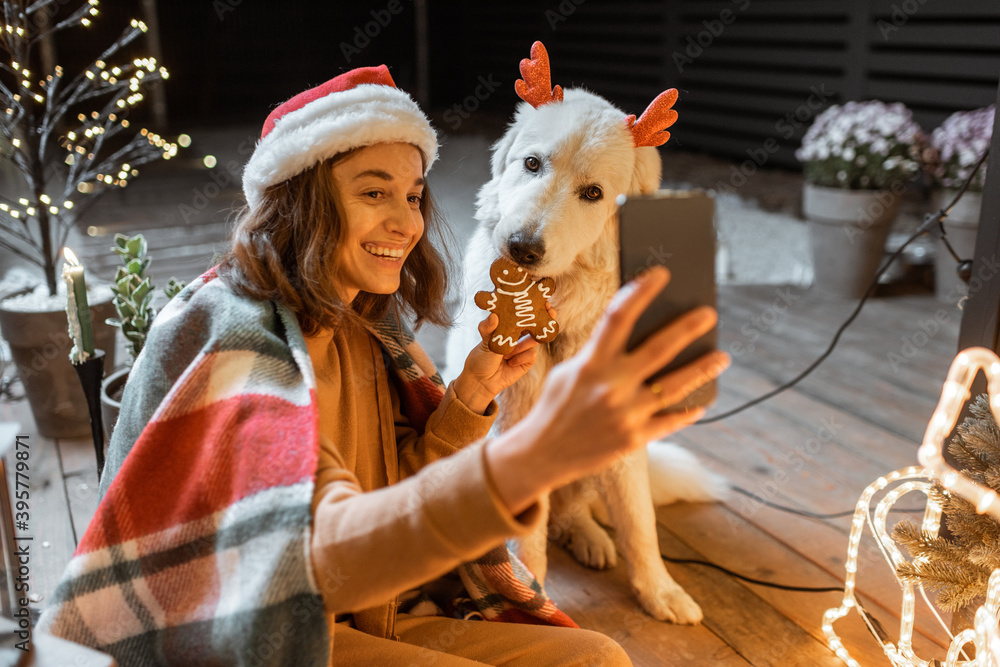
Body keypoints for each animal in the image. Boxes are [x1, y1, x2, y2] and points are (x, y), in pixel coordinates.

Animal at [446, 43, 728, 628]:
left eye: (593, 193)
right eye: (532, 164)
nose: (522, 247)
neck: (550, 305)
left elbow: (640, 525)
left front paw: (659, 590)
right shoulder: (511, 430)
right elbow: (527, 542)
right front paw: (533, 598)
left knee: (578, 510)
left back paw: (591, 537)